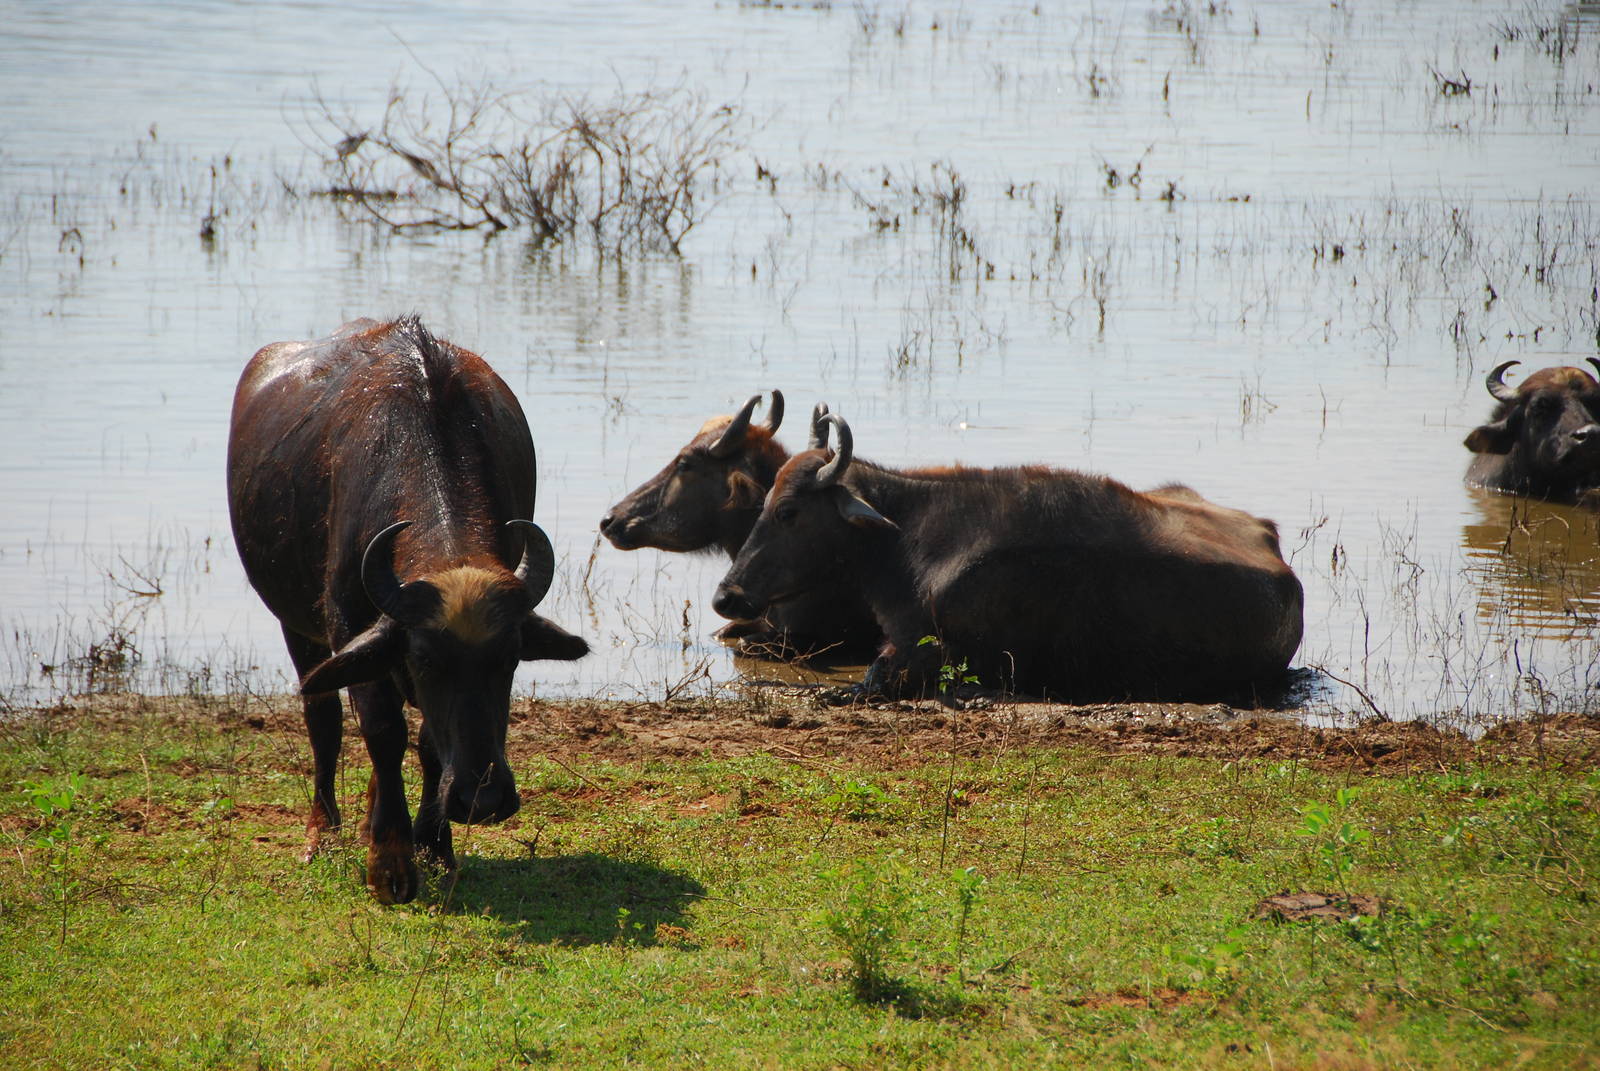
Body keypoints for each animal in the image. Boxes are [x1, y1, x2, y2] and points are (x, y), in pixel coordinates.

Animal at [227, 317, 588, 903]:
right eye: (426, 660)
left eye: (510, 659)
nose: (483, 801)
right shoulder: (349, 626)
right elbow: (382, 730)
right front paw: (390, 861)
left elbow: (426, 741)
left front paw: (435, 846)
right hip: (298, 627)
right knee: (324, 718)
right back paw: (322, 833)